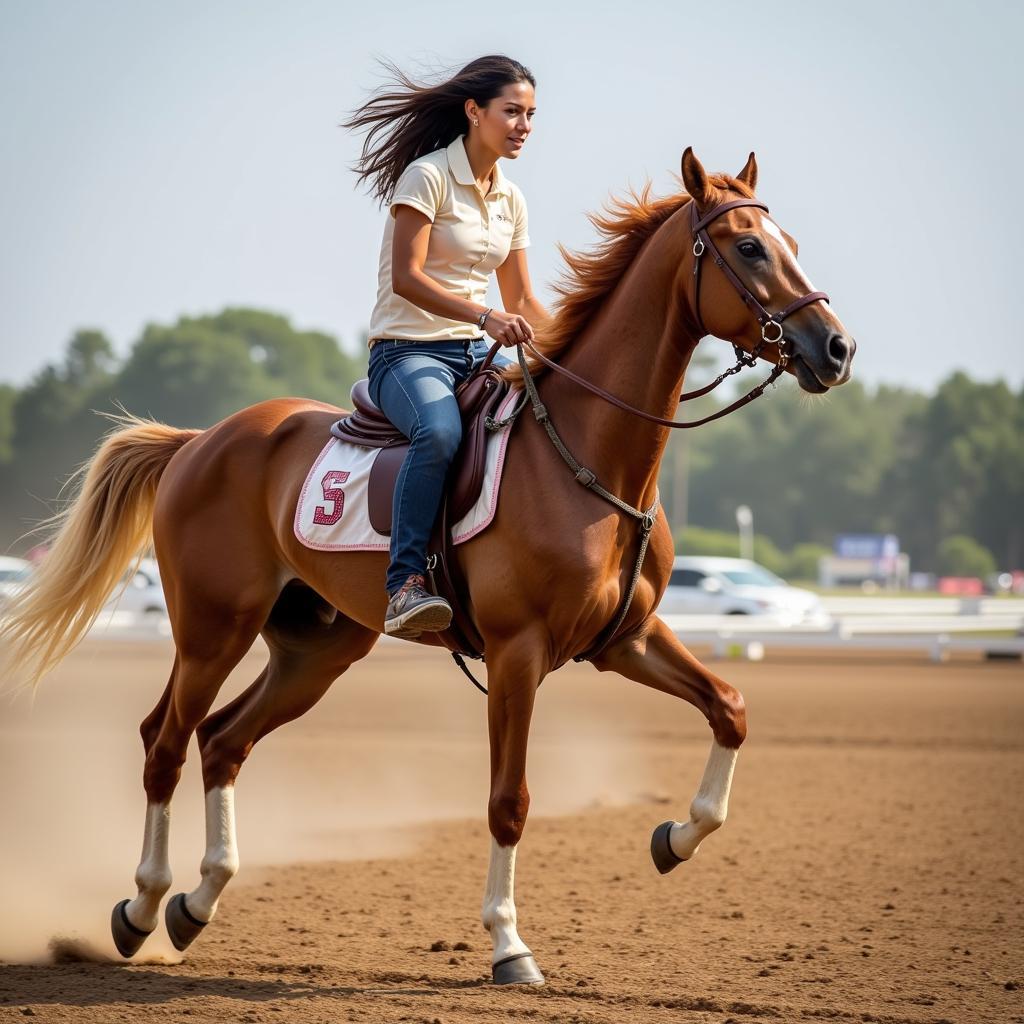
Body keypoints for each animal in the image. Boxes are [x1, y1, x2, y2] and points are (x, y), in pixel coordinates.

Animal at [2, 146, 856, 983]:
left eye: (790, 243)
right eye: (748, 248)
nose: (837, 348)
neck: (588, 457)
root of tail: (199, 441)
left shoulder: (627, 640)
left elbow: (730, 708)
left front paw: (674, 838)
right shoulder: (518, 656)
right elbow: (509, 800)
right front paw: (509, 944)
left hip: (316, 650)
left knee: (222, 742)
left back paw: (195, 904)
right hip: (214, 631)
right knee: (165, 743)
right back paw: (141, 906)